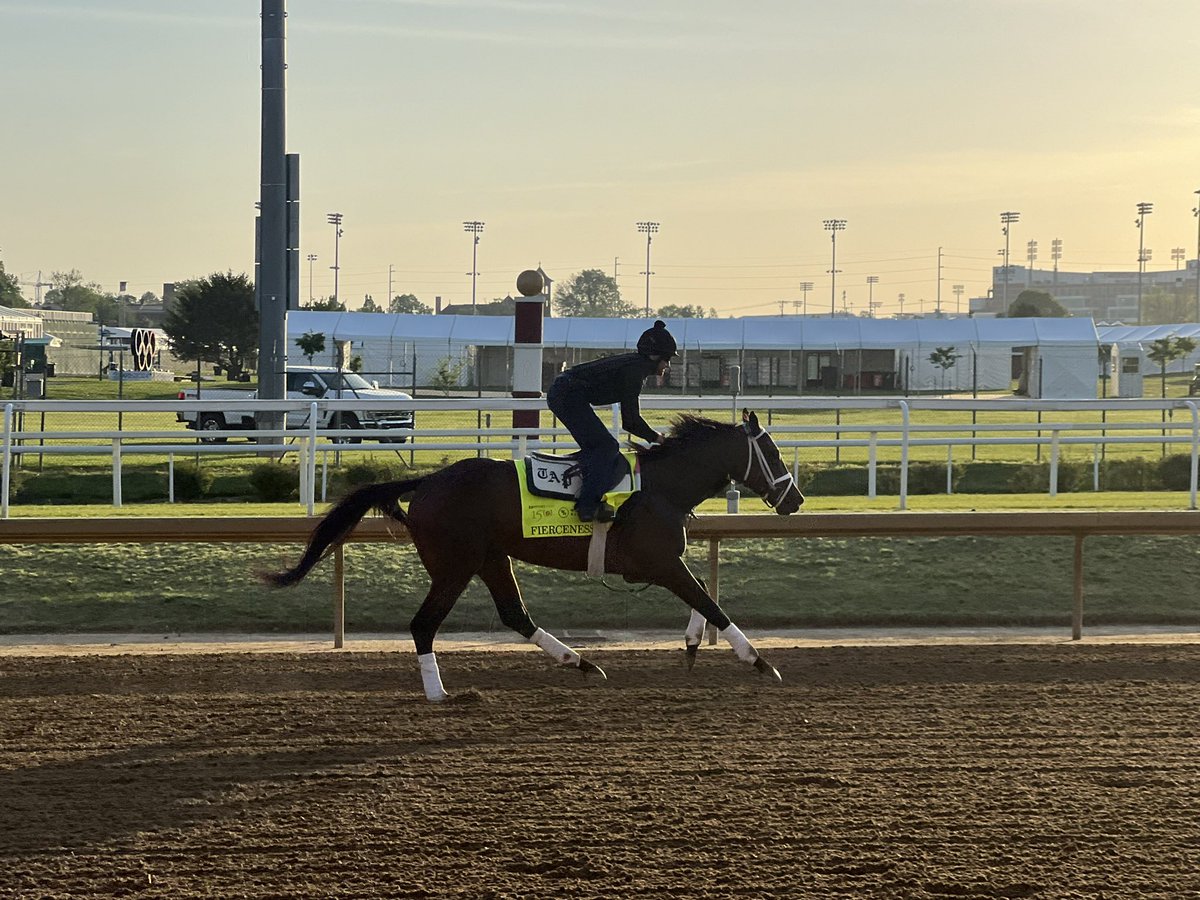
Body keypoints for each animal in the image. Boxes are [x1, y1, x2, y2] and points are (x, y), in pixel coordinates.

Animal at [262, 410, 806, 705]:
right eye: (774, 453)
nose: (796, 500)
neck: (662, 487)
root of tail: (429, 481)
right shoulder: (660, 563)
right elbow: (711, 602)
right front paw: (760, 662)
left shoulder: (665, 564)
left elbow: (705, 599)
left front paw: (694, 645)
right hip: (455, 565)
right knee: (423, 625)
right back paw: (440, 693)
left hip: (490, 559)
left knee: (514, 614)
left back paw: (580, 662)